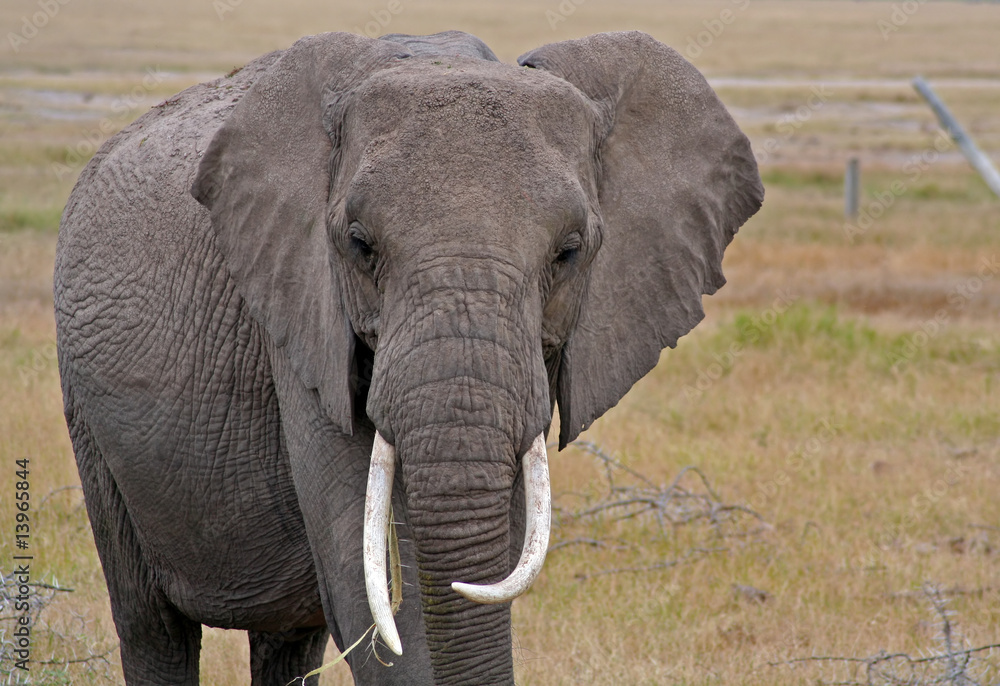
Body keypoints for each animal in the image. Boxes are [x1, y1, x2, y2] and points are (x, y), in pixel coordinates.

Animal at [54, 29, 762, 685]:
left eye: (569, 252)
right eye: (360, 245)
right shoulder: (298, 314)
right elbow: (367, 589)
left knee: (288, 641)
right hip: (90, 417)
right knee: (152, 626)